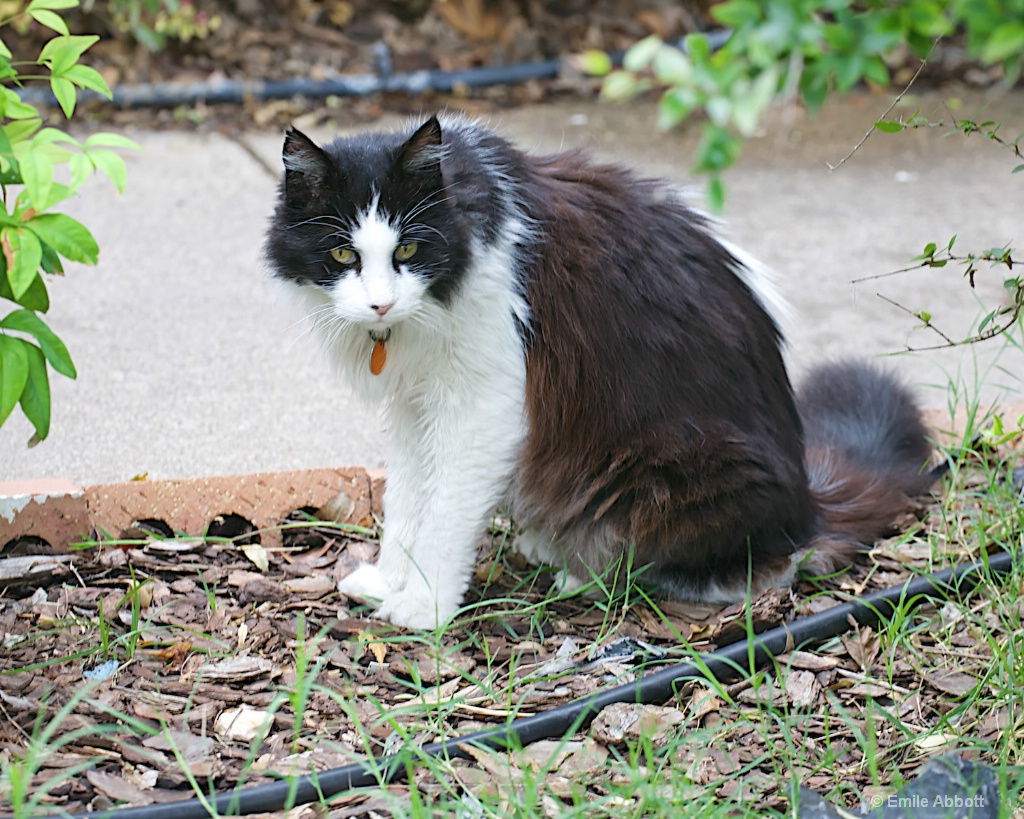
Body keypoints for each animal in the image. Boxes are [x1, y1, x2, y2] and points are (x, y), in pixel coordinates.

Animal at [266, 112, 937, 630]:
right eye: (342, 254)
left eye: (407, 249)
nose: (380, 304)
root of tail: (809, 504)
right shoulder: (414, 402)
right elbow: (408, 502)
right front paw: (390, 581)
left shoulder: (483, 402)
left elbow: (445, 512)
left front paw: (425, 606)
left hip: (678, 467)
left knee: (761, 569)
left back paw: (586, 574)